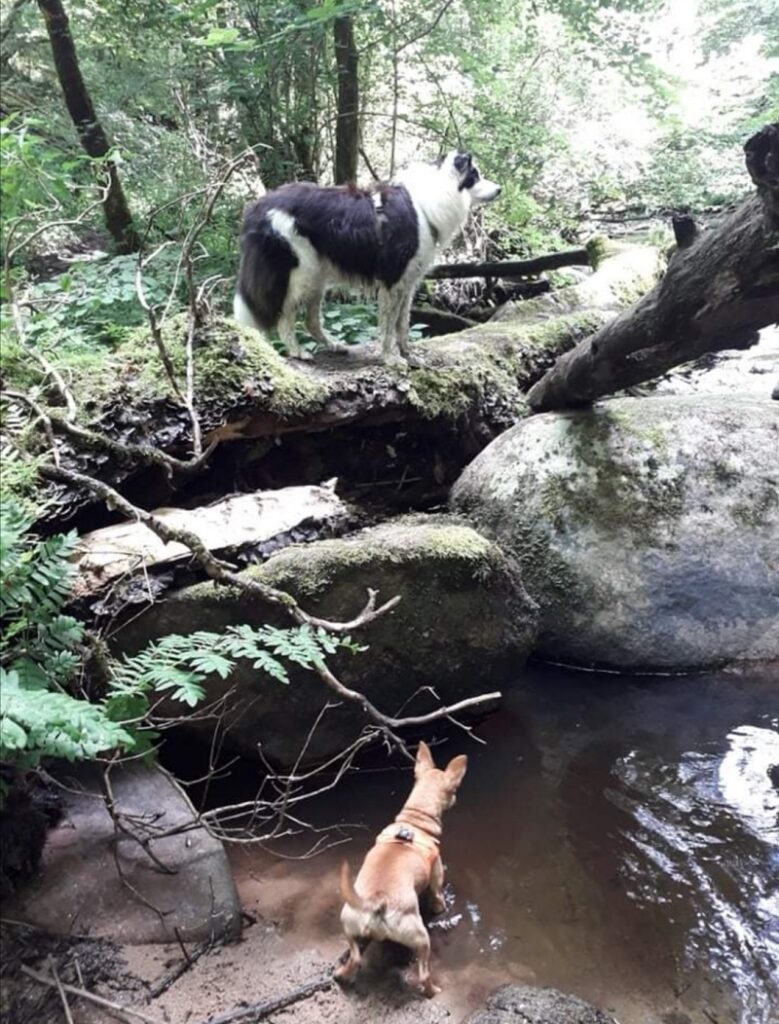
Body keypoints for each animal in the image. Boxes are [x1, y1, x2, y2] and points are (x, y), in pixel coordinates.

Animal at [232, 149, 497, 364]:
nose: (500, 189)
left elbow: (402, 323)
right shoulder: (392, 280)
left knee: (311, 321)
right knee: (284, 316)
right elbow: (388, 325)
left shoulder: (408, 282)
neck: (428, 203)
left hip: (317, 276)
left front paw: (408, 355)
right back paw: (298, 352)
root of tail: (256, 208)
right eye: (475, 175)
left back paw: (334, 346)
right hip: (300, 273)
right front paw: (391, 359)